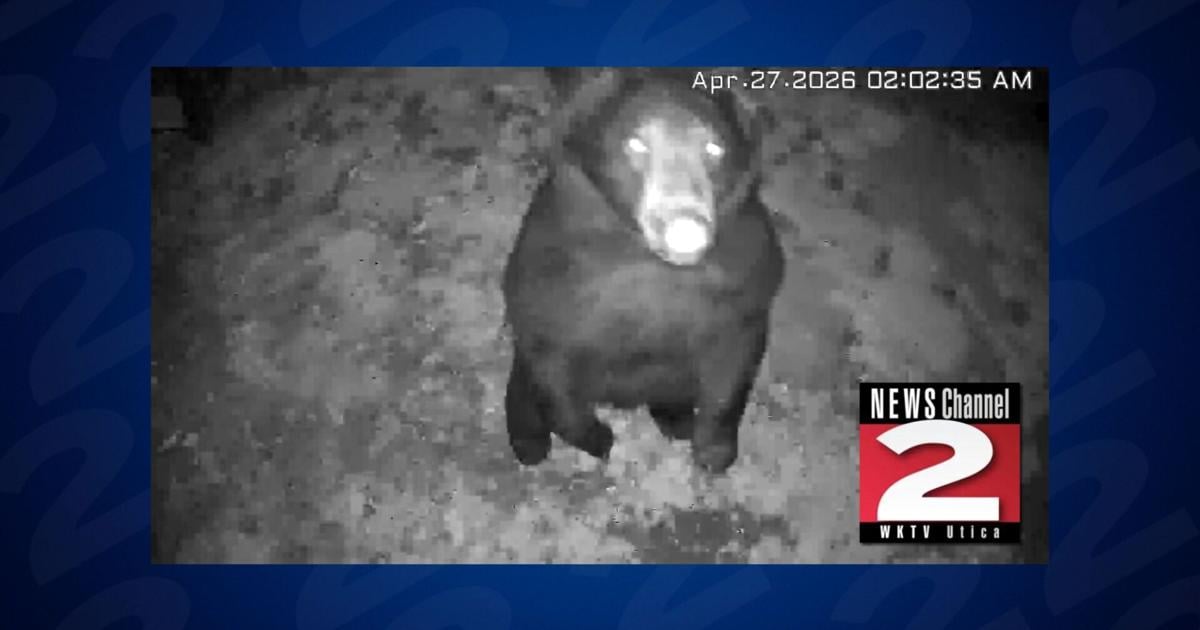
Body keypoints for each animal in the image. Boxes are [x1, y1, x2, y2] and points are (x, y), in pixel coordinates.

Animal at [501, 68, 784, 473]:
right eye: (636, 145)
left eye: (714, 149)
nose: (686, 226)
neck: (647, 260)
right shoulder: (552, 277)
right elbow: (552, 371)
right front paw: (600, 439)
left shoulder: (742, 282)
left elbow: (735, 364)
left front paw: (713, 450)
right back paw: (529, 441)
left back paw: (676, 419)